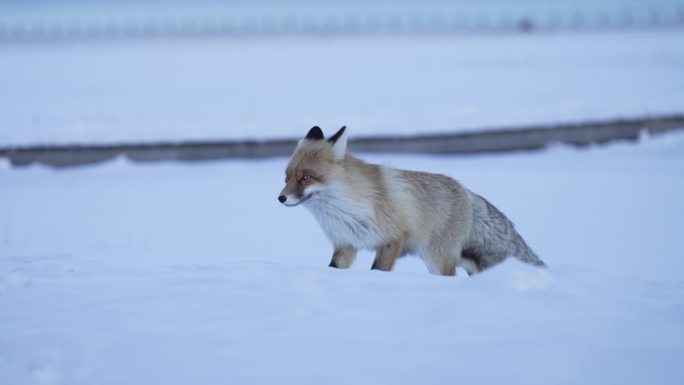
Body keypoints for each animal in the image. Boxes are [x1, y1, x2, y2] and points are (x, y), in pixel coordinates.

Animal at [278, 124, 544, 274]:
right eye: (287, 177)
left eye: (305, 178)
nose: (280, 198)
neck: (345, 209)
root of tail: (465, 190)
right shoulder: (346, 245)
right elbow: (334, 269)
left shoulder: (392, 241)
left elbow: (378, 271)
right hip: (449, 256)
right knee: (476, 268)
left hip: (437, 259)